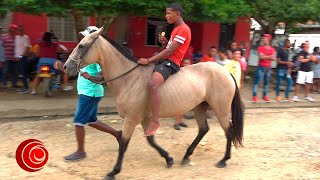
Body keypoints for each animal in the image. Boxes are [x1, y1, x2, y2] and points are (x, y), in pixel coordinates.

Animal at [62, 27, 244, 179]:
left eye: (81, 46)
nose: (65, 66)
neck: (129, 79)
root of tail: (225, 72)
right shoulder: (144, 118)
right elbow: (151, 141)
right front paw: (168, 158)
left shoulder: (131, 119)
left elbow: (124, 144)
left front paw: (114, 171)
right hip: (200, 107)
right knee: (203, 129)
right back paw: (186, 156)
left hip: (221, 109)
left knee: (228, 131)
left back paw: (224, 160)